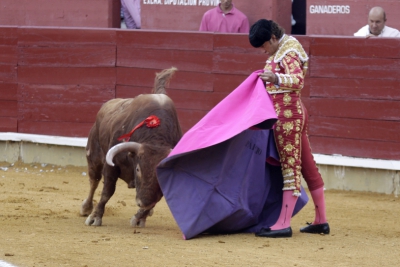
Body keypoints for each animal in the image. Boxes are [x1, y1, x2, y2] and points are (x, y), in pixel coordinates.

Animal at [80, 67, 183, 228]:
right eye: (138, 169)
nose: (144, 202)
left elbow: (157, 198)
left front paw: (140, 217)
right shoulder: (111, 166)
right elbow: (107, 191)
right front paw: (95, 217)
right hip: (94, 156)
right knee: (94, 181)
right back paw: (86, 208)